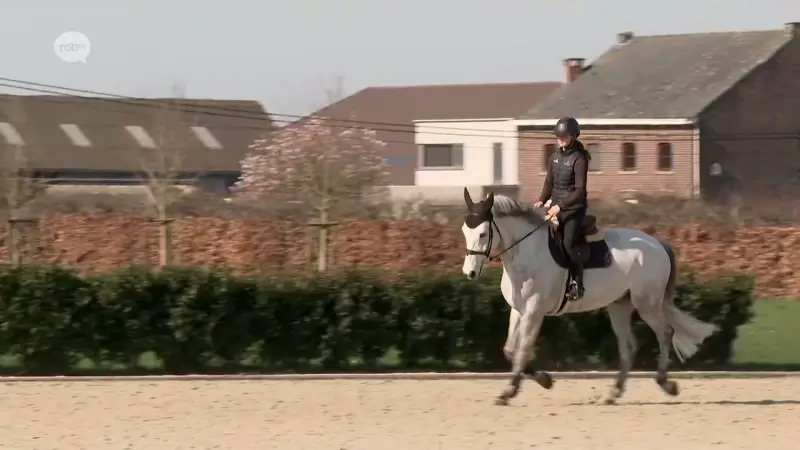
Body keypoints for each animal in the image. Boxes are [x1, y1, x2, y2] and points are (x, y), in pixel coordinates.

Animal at [460, 188, 719, 406]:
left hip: (647, 304)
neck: (526, 255)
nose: (469, 273)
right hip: (619, 306)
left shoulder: (534, 312)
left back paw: (665, 383)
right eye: (465, 232)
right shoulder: (519, 310)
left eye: (482, 234)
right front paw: (544, 379)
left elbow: (522, 350)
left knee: (665, 334)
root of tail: (657, 243)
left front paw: (510, 391)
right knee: (629, 346)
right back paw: (614, 393)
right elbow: (509, 350)